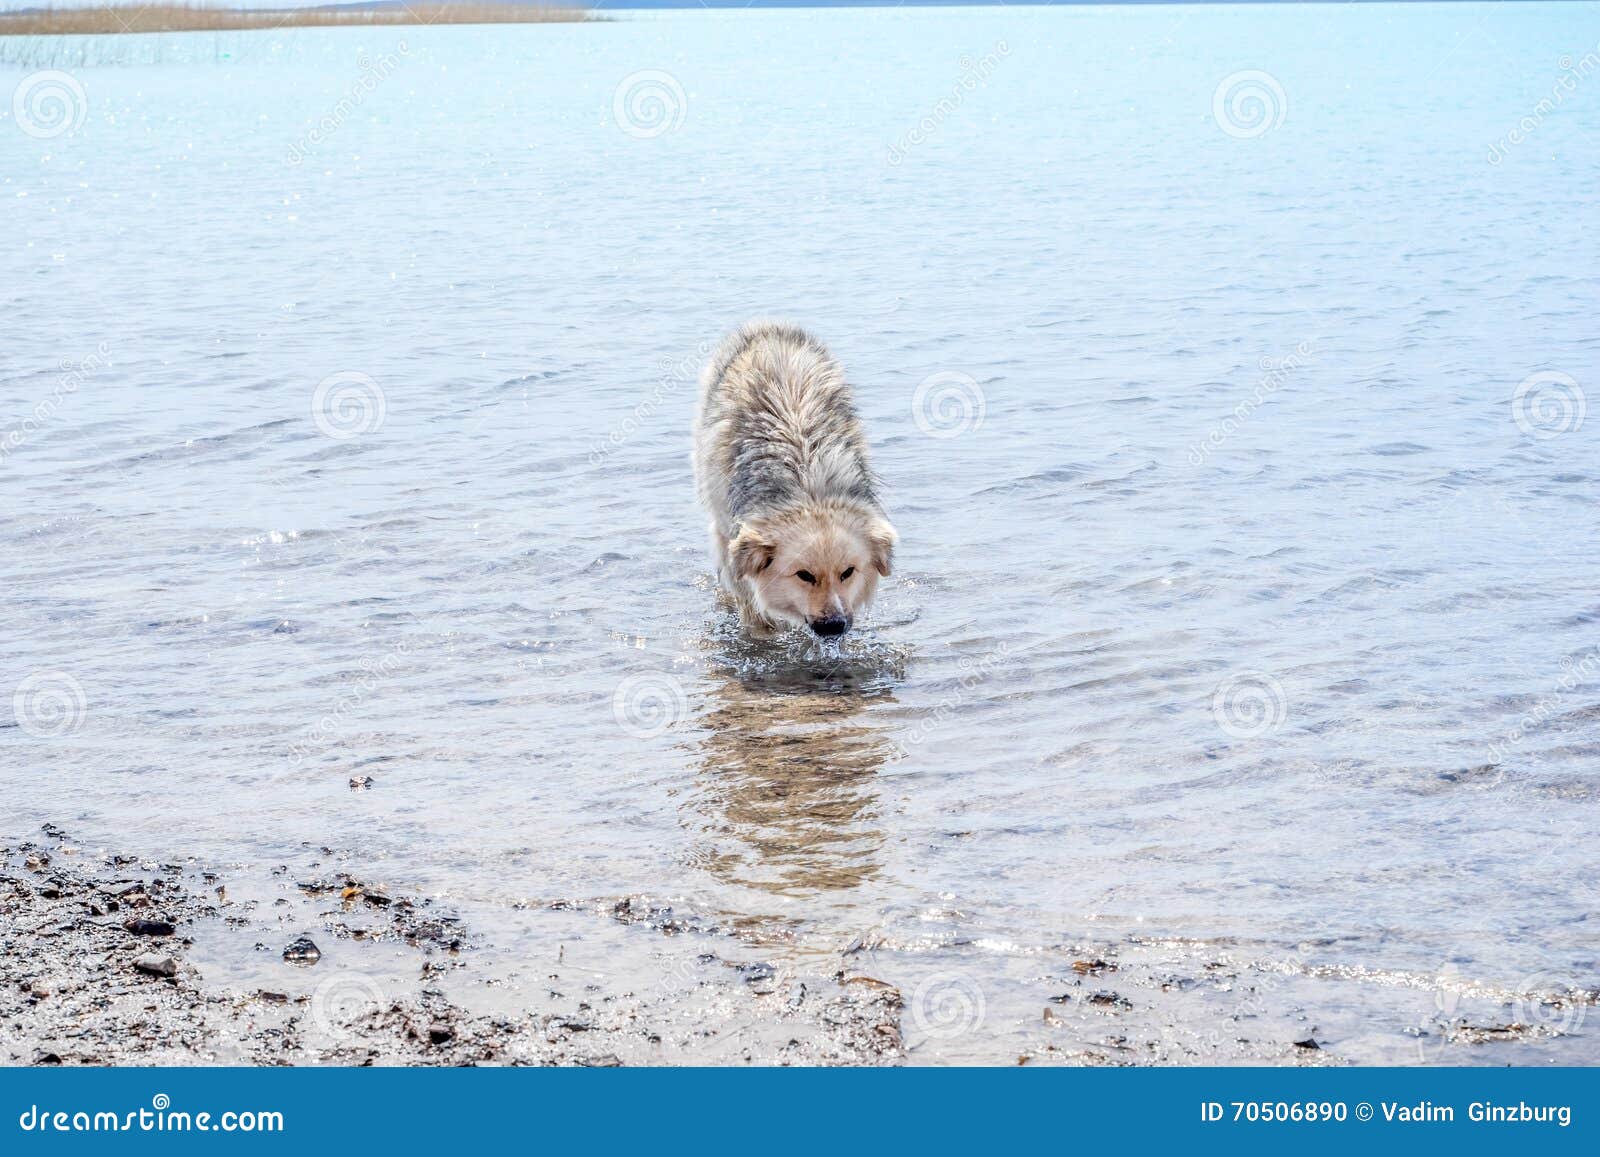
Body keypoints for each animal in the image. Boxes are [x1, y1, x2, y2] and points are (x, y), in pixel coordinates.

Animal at [691, 318, 902, 643]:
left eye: (848, 572)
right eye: (804, 575)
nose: (834, 626)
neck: (807, 481)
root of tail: (766, 325)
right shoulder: (731, 539)